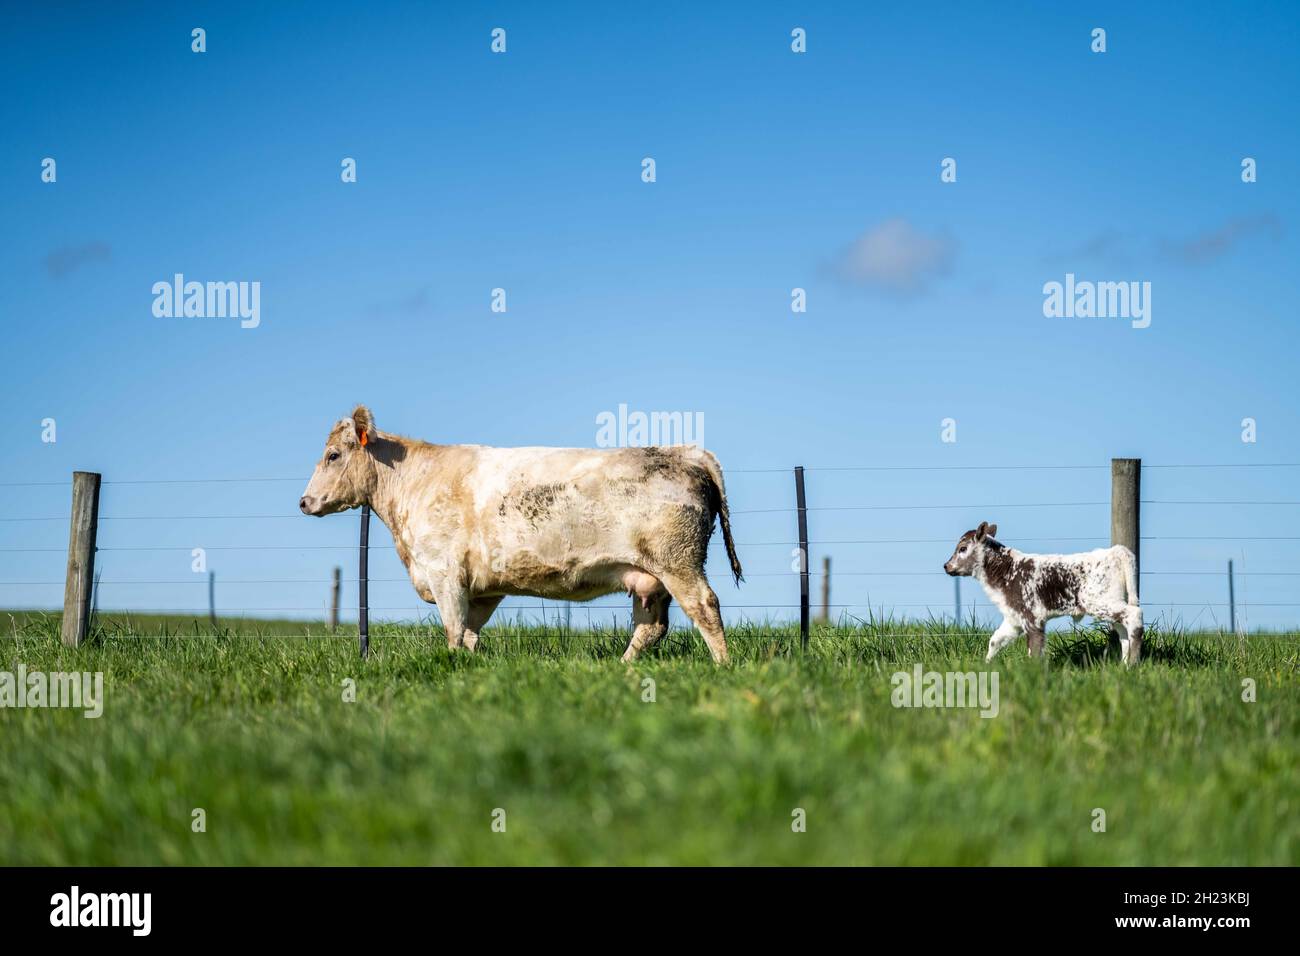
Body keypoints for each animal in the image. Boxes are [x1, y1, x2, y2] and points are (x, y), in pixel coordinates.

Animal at [296, 405, 743, 665]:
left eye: (333, 455)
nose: (304, 501)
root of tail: (684, 451)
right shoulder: (482, 589)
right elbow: (470, 635)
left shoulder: (445, 574)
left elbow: (453, 632)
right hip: (649, 577)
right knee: (651, 627)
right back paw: (623, 669)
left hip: (677, 562)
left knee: (705, 606)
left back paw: (722, 666)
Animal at [941, 522, 1144, 665]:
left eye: (962, 548)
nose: (946, 566)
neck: (1007, 571)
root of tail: (1116, 551)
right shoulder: (1014, 618)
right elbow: (995, 640)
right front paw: (986, 665)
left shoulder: (1032, 616)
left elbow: (1034, 648)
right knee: (1123, 631)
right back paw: (1124, 665)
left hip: (1101, 602)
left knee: (1134, 615)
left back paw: (1133, 664)